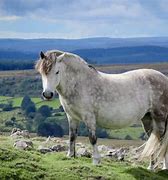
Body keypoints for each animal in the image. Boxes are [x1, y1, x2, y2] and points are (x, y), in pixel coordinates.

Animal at [36, 50, 168, 169]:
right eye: (42, 73)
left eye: (57, 72)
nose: (47, 94)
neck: (79, 84)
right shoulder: (72, 117)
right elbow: (72, 136)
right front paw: (70, 155)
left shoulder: (89, 117)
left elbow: (92, 138)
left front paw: (96, 161)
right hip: (147, 118)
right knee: (153, 140)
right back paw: (152, 167)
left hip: (160, 118)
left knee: (161, 141)